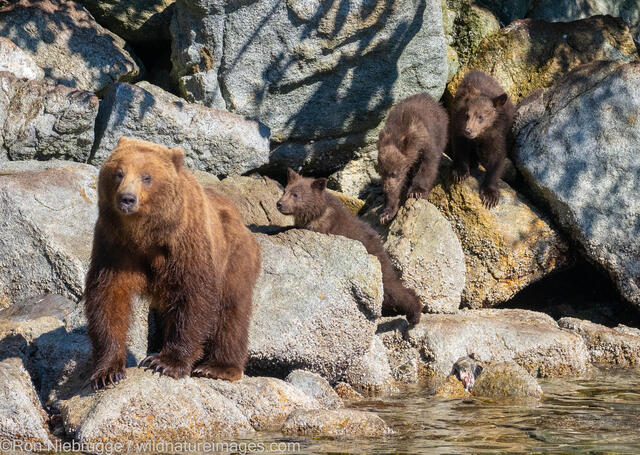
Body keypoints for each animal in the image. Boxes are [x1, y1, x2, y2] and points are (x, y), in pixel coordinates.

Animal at [84, 137, 260, 390]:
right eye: (119, 173)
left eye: (147, 177)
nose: (126, 199)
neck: (145, 235)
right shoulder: (113, 246)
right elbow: (108, 297)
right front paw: (107, 372)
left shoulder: (186, 245)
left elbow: (193, 297)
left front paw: (166, 362)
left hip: (234, 260)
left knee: (231, 311)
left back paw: (218, 367)